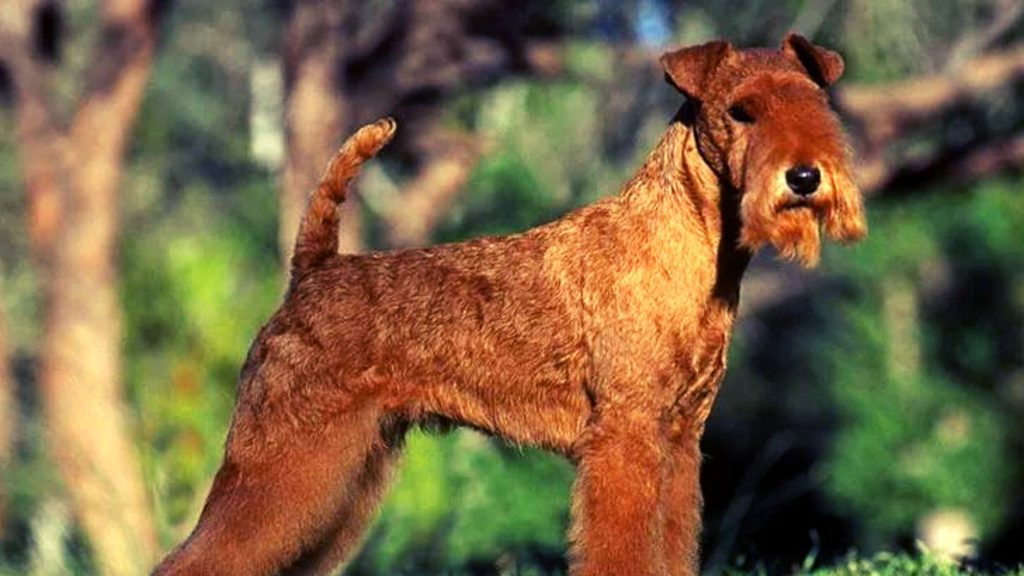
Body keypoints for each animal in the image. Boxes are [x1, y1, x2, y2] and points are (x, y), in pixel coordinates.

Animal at [153, 33, 864, 569]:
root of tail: (313, 268)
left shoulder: (680, 438)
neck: (685, 243)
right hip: (283, 457)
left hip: (344, 472)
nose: (805, 177)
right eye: (742, 111)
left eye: (815, 103)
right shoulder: (627, 436)